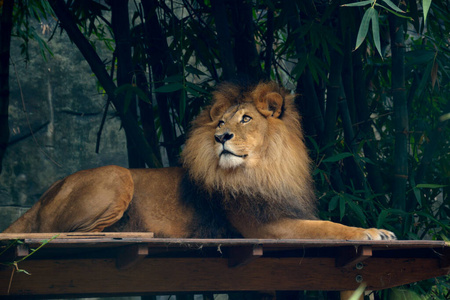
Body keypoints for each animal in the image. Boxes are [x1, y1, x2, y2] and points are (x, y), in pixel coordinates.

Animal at [4, 80, 398, 241]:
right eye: (221, 122)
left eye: (245, 119)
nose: (221, 138)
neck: (267, 167)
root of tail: (41, 198)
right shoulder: (265, 226)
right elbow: (328, 226)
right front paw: (370, 231)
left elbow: (325, 221)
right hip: (118, 175)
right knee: (69, 233)